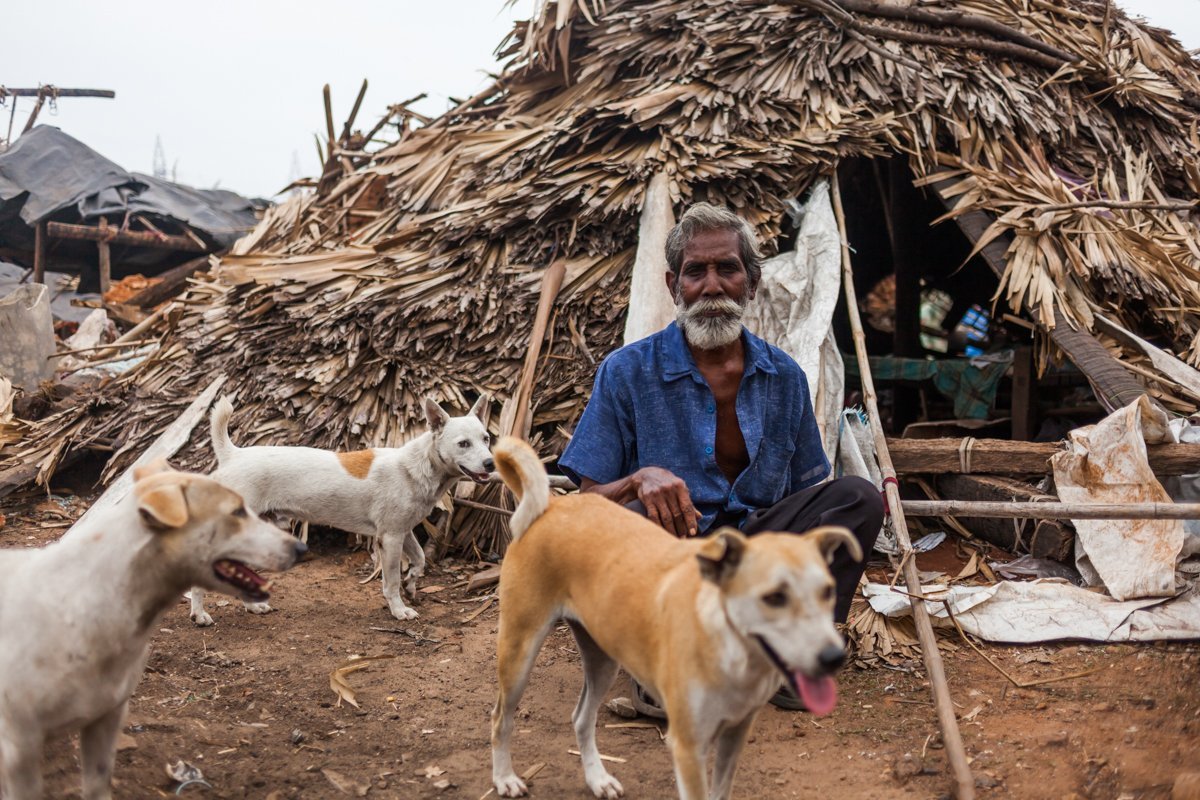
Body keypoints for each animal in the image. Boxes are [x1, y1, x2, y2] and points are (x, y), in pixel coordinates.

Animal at [189, 393, 489, 623]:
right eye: (463, 444)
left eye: (486, 438)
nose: (490, 463)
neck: (417, 466)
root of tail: (233, 454)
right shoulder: (390, 538)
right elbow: (391, 582)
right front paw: (399, 609)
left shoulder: (404, 532)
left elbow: (420, 560)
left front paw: (412, 584)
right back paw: (199, 615)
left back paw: (252, 607)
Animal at [489, 438, 864, 800]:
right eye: (774, 597)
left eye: (828, 591)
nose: (833, 658)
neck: (733, 654)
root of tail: (553, 505)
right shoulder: (688, 747)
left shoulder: (735, 734)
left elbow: (721, 791)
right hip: (519, 650)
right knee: (500, 719)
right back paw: (505, 779)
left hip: (603, 659)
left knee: (582, 717)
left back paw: (598, 780)